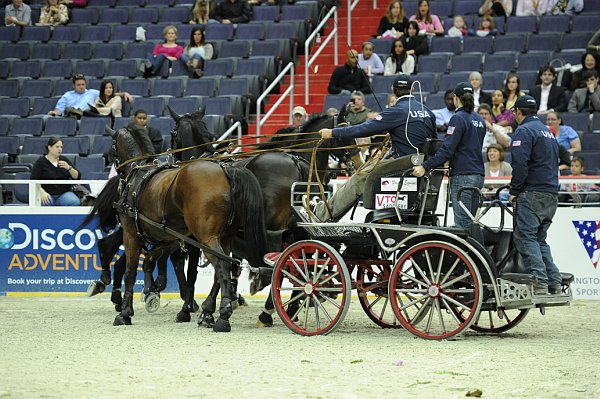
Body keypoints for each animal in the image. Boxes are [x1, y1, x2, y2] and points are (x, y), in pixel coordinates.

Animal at [106, 122, 268, 332]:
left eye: (112, 147)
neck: (139, 173)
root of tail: (225, 170)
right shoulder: (169, 237)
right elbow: (157, 262)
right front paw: (155, 293)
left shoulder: (131, 234)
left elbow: (131, 272)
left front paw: (125, 312)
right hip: (224, 237)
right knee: (223, 268)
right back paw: (210, 313)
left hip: (206, 238)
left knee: (222, 265)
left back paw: (222, 315)